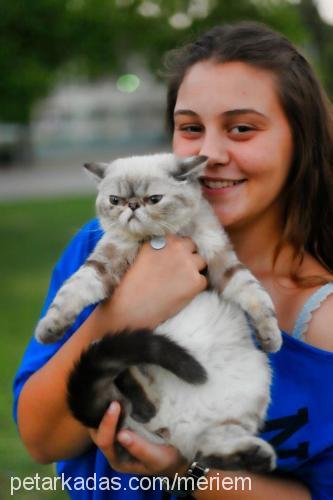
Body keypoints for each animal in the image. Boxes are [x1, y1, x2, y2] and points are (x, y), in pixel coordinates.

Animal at [35, 154, 280, 470]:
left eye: (153, 199)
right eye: (115, 200)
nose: (132, 206)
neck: (155, 237)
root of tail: (175, 427)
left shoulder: (221, 261)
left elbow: (255, 295)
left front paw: (270, 337)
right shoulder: (105, 261)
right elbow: (72, 291)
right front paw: (49, 329)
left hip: (254, 381)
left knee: (204, 449)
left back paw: (257, 456)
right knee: (154, 411)